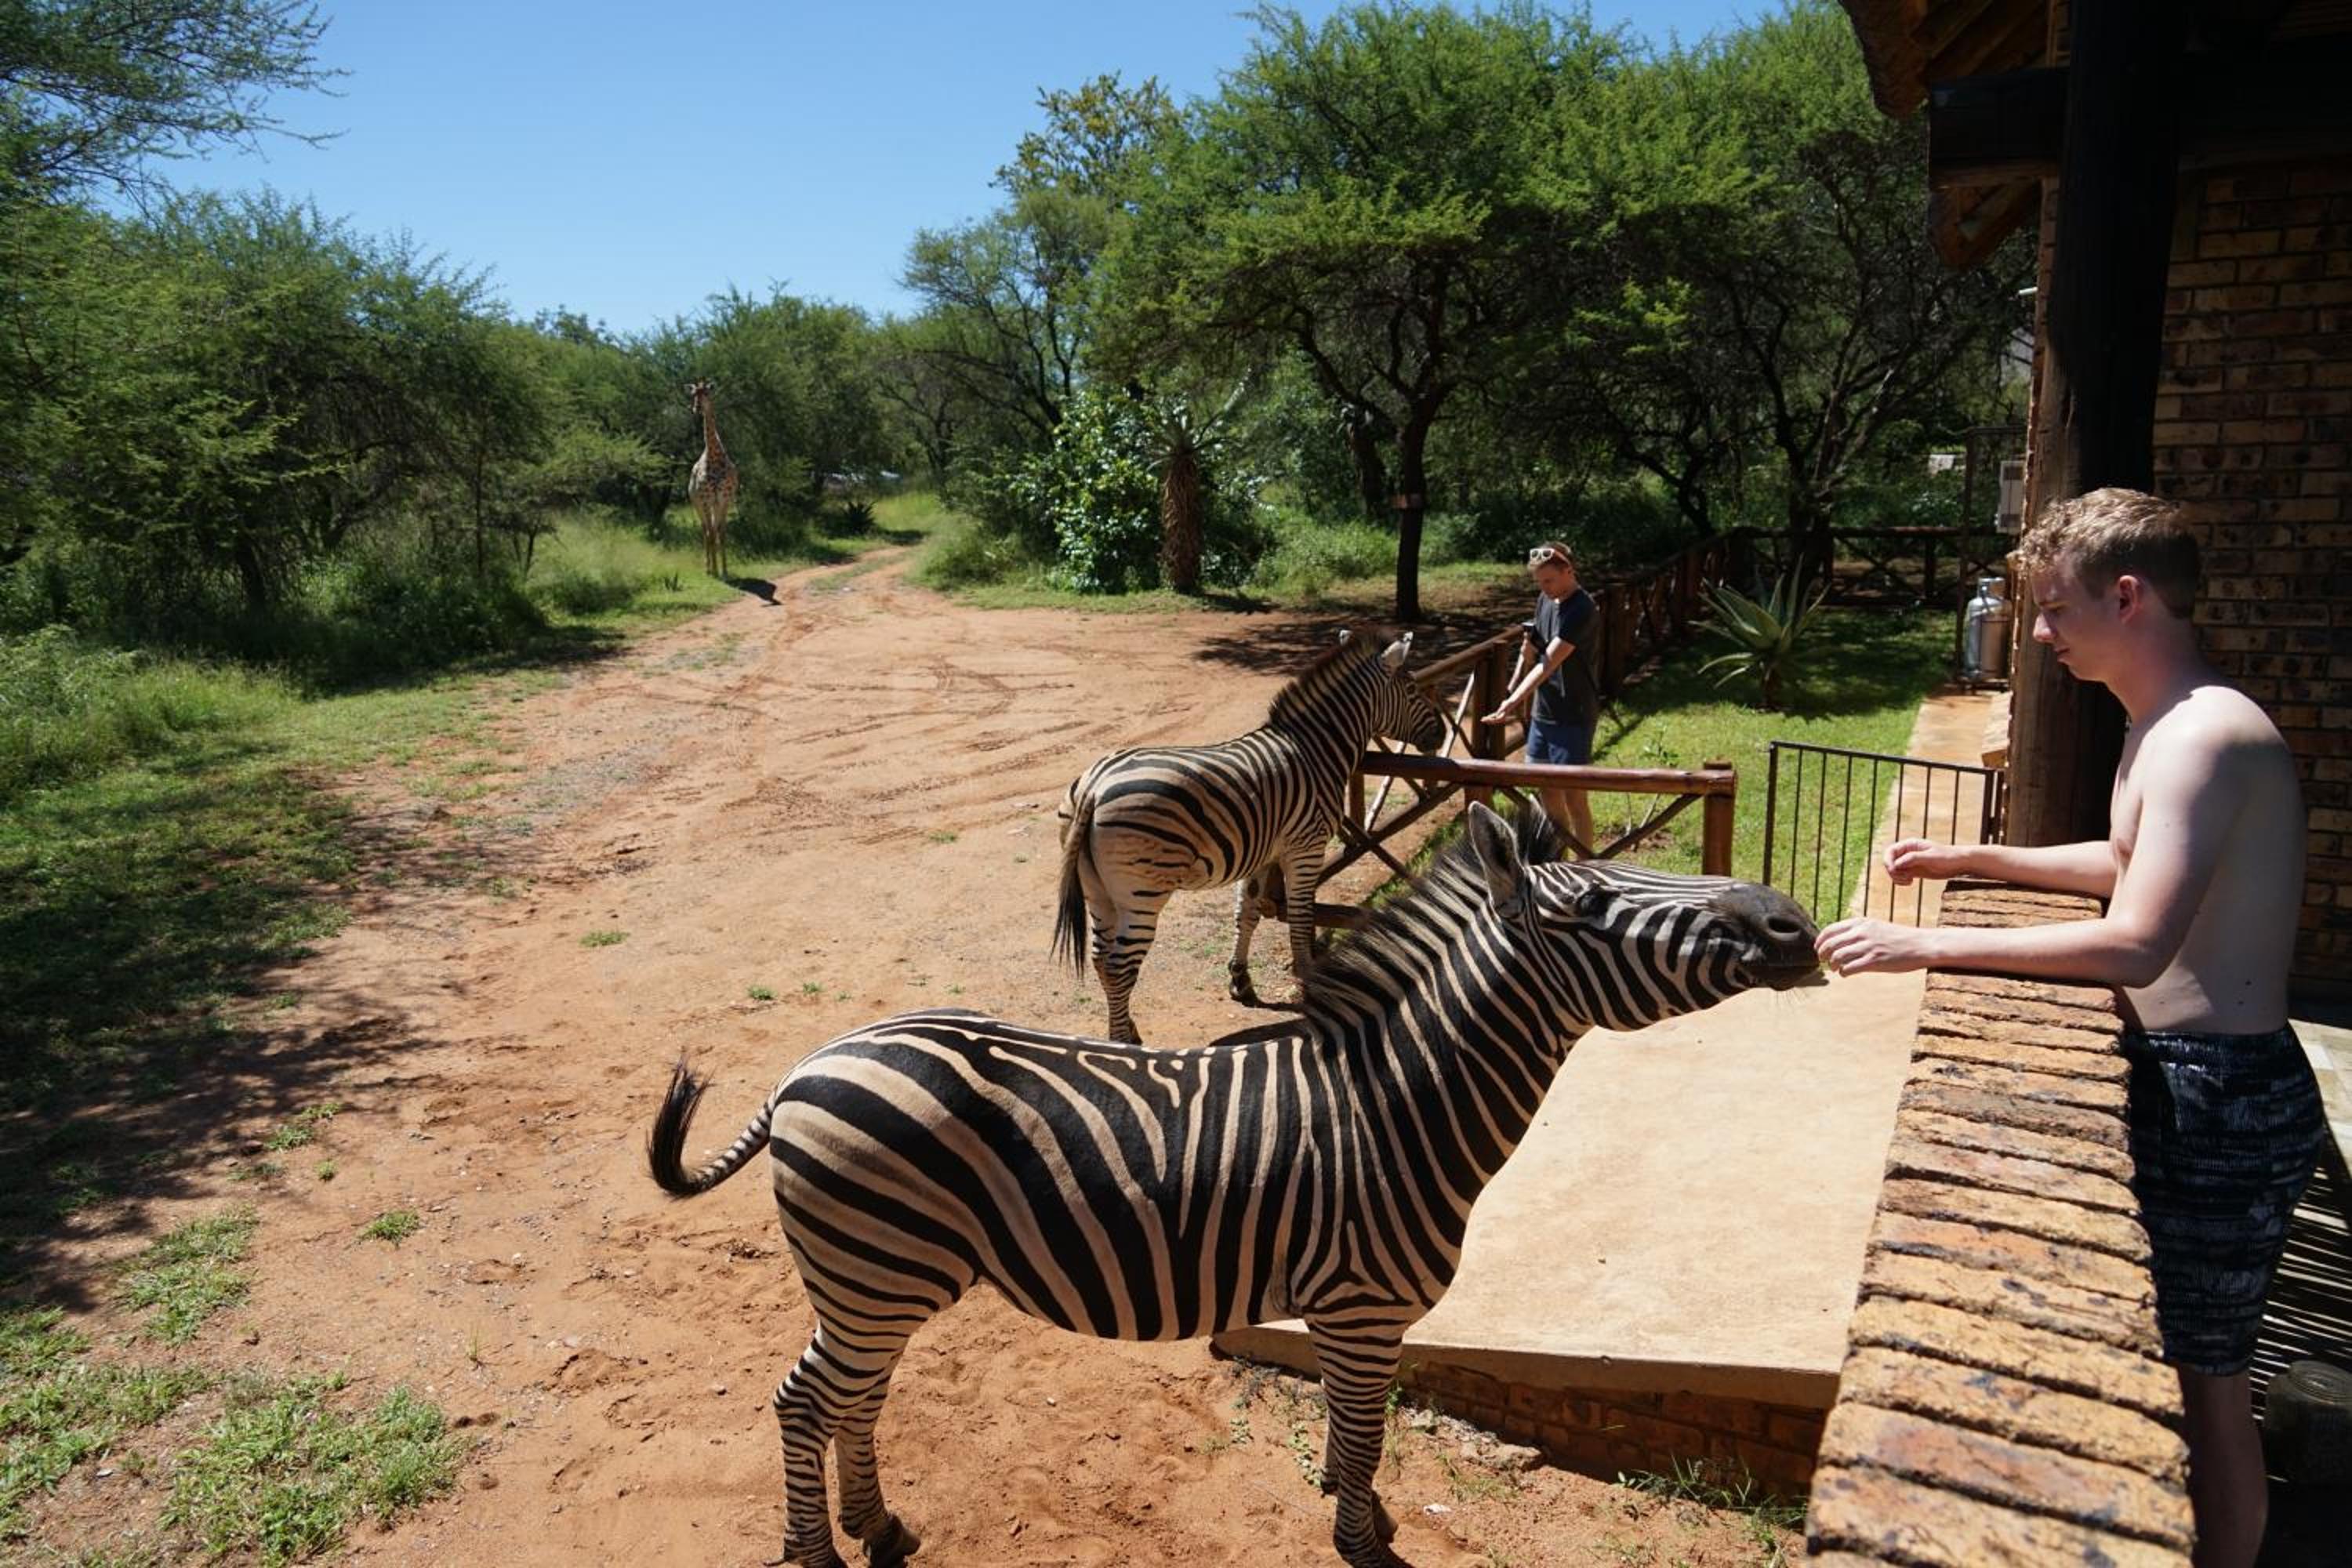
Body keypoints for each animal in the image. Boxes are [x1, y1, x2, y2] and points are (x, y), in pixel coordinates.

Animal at [685, 380, 738, 578]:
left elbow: (721, 534)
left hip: (714, 505)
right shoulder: (707, 500)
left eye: (707, 393)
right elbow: (711, 534)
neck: (715, 458)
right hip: (698, 504)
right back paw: (708, 568)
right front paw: (714, 570)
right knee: (705, 530)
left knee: (712, 530)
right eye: (693, 394)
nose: (697, 408)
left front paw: (725, 570)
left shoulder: (724, 499)